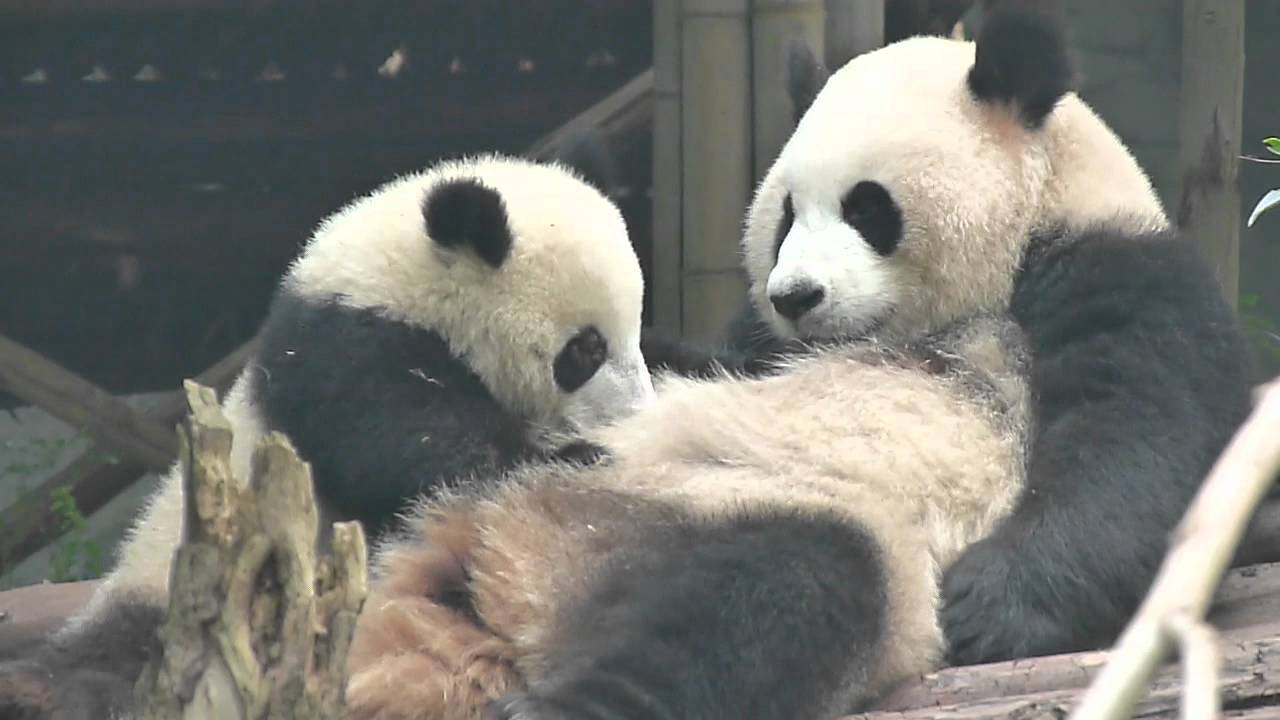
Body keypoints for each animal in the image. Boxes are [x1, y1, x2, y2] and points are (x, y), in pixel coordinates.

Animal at [4, 154, 654, 719]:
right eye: (586, 349)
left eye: (636, 336)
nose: (636, 414)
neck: (397, 287)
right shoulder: (340, 354)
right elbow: (401, 444)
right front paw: (572, 454)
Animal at [342, 8, 1254, 720]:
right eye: (783, 215)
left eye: (868, 207)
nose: (795, 296)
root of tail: (492, 561)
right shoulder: (754, 343)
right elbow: (707, 357)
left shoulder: (1122, 269)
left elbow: (1147, 440)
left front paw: (988, 606)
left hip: (731, 515)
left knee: (767, 599)